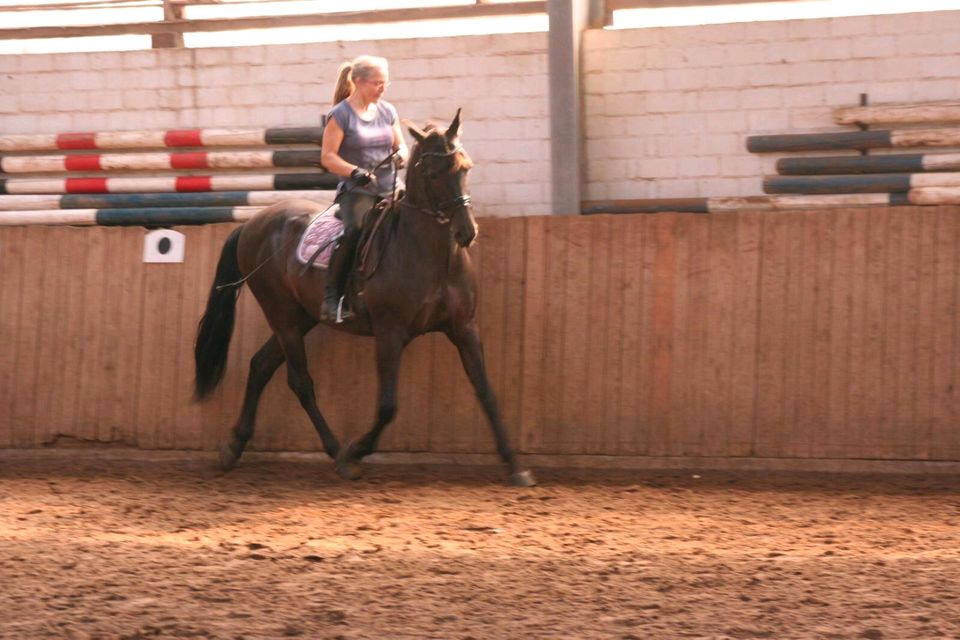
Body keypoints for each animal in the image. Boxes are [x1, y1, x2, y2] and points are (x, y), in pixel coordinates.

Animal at [193, 112, 540, 488]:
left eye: (466, 167)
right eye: (434, 174)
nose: (467, 232)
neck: (430, 254)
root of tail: (253, 223)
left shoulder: (464, 328)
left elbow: (486, 392)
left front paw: (516, 467)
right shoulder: (390, 333)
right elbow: (388, 406)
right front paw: (356, 451)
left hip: (302, 317)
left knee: (261, 366)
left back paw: (235, 446)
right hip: (281, 313)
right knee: (300, 381)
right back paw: (338, 454)